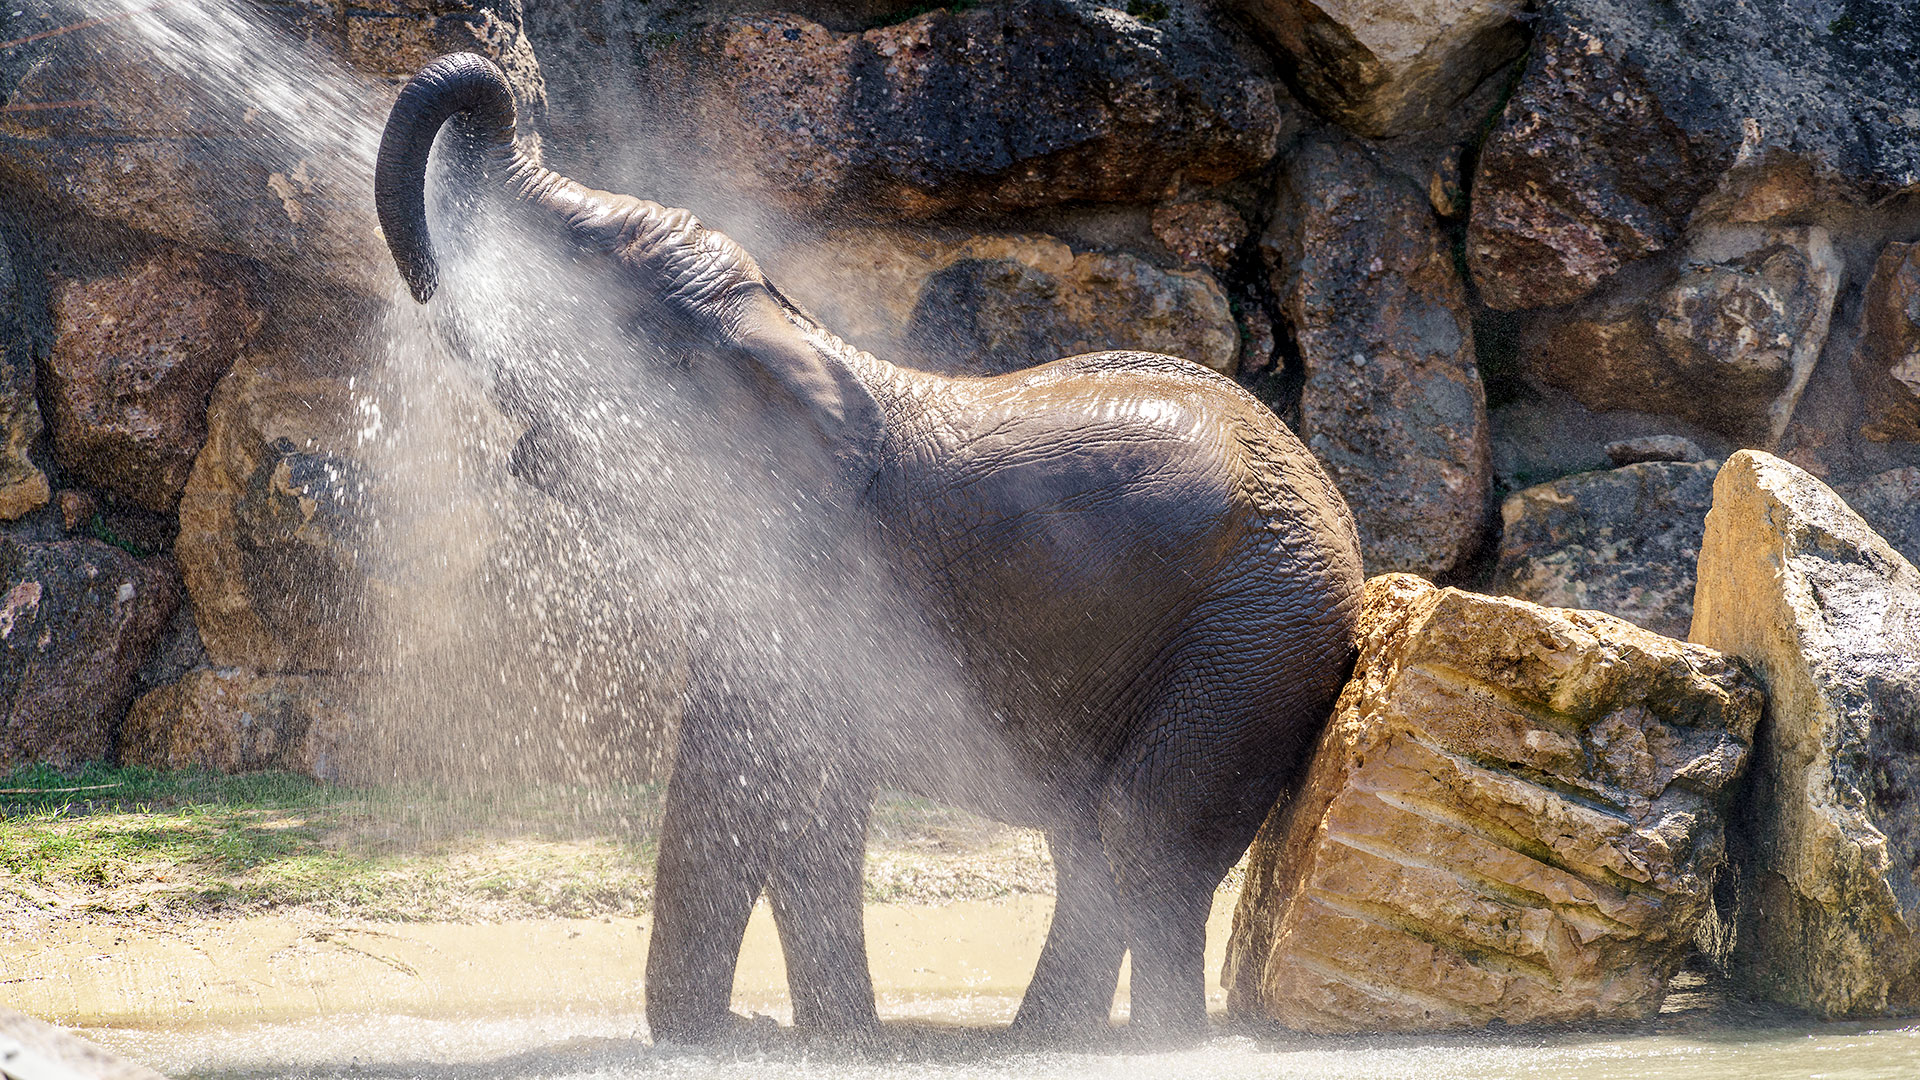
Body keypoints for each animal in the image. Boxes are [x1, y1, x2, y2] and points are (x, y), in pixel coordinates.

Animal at [374, 52, 1365, 1041]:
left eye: (576, 266)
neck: (791, 331)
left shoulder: (834, 583)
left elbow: (799, 791)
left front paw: (828, 1042)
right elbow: (726, 774)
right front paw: (737, 1040)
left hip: (1252, 641)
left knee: (1146, 841)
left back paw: (1147, 1043)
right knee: (1095, 848)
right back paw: (1039, 1045)